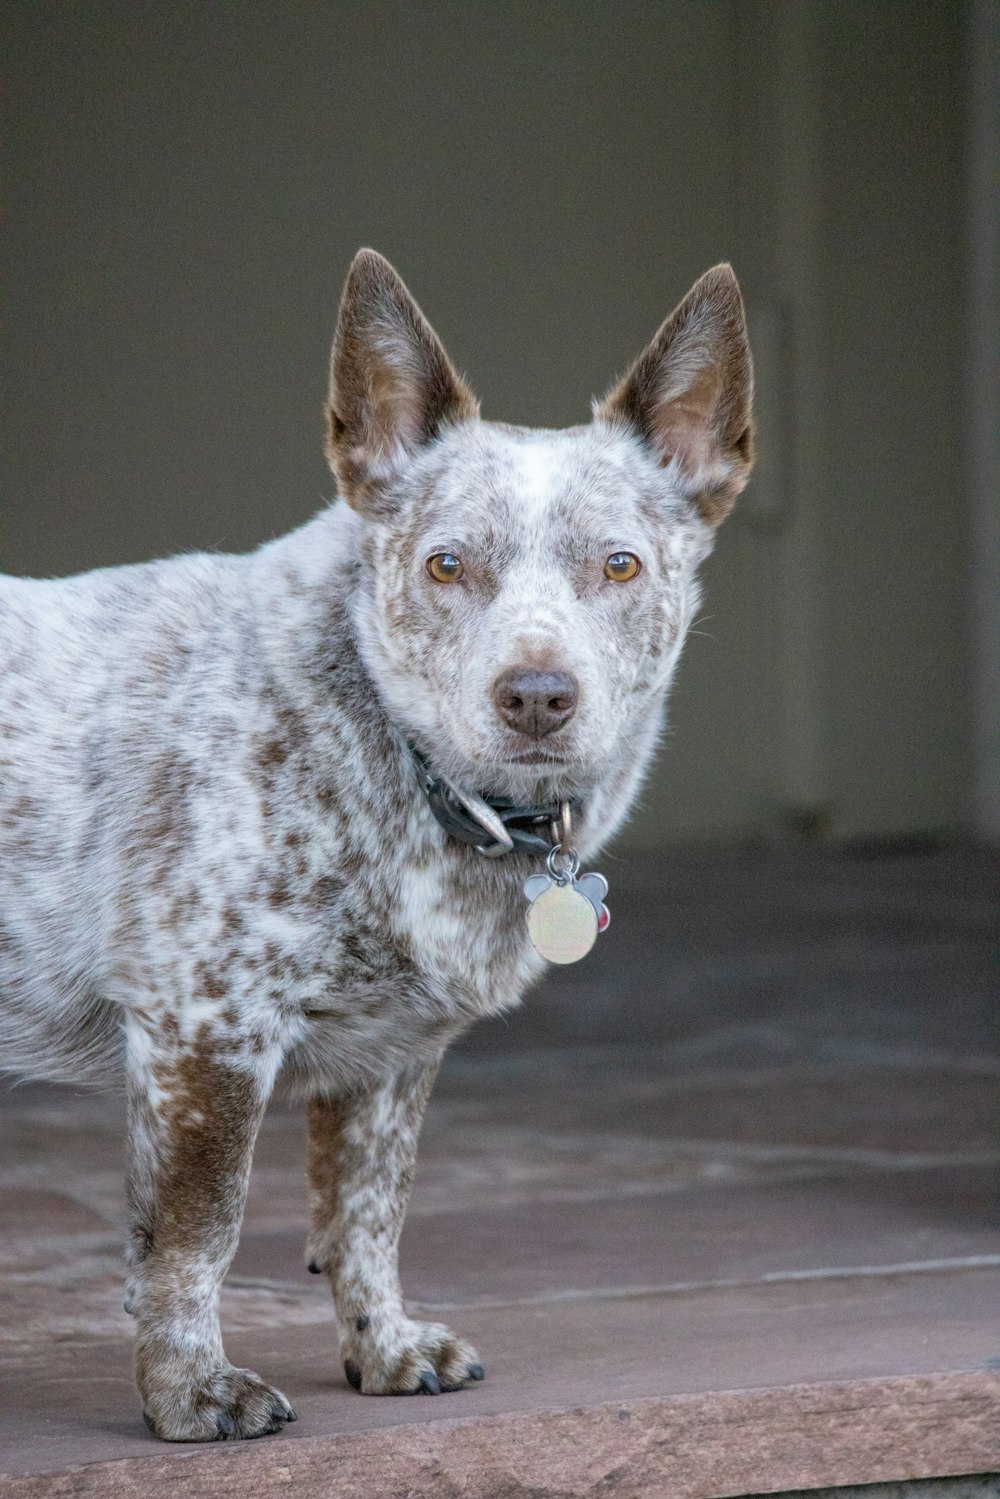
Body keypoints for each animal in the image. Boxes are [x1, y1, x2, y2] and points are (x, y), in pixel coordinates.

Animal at [0, 251, 749, 1445]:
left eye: (620, 566)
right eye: (445, 565)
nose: (537, 693)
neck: (414, 775)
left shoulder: (391, 1054)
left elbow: (367, 1210)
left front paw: (383, 1348)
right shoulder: (203, 1030)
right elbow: (195, 1236)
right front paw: (189, 1394)